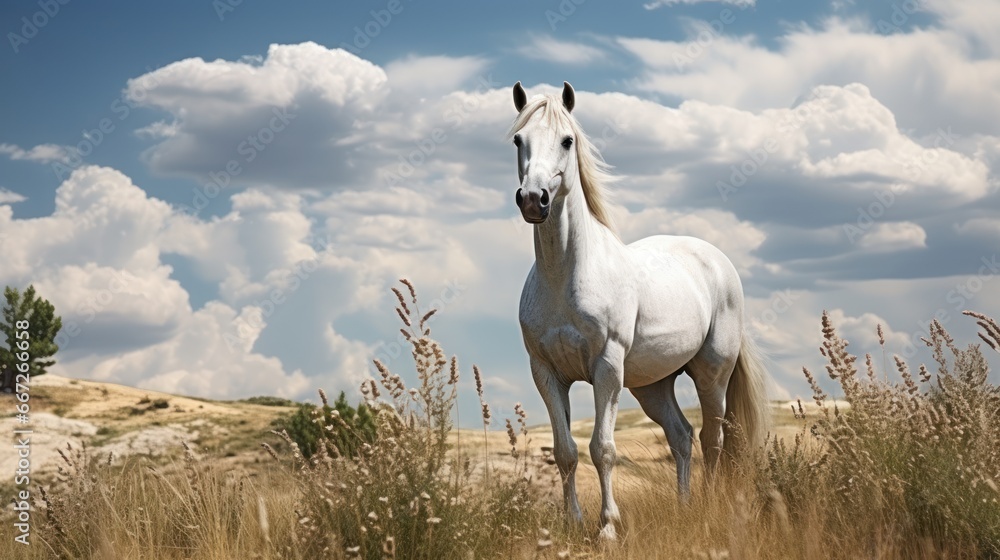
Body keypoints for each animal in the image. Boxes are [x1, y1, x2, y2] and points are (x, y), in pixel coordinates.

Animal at [509, 81, 770, 540]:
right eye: (518, 140)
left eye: (567, 140)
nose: (533, 200)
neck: (565, 276)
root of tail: (718, 262)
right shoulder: (546, 373)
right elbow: (565, 451)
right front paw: (574, 524)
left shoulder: (606, 369)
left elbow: (602, 449)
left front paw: (608, 529)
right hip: (653, 385)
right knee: (681, 436)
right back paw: (684, 508)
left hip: (712, 374)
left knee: (712, 439)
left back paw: (709, 510)